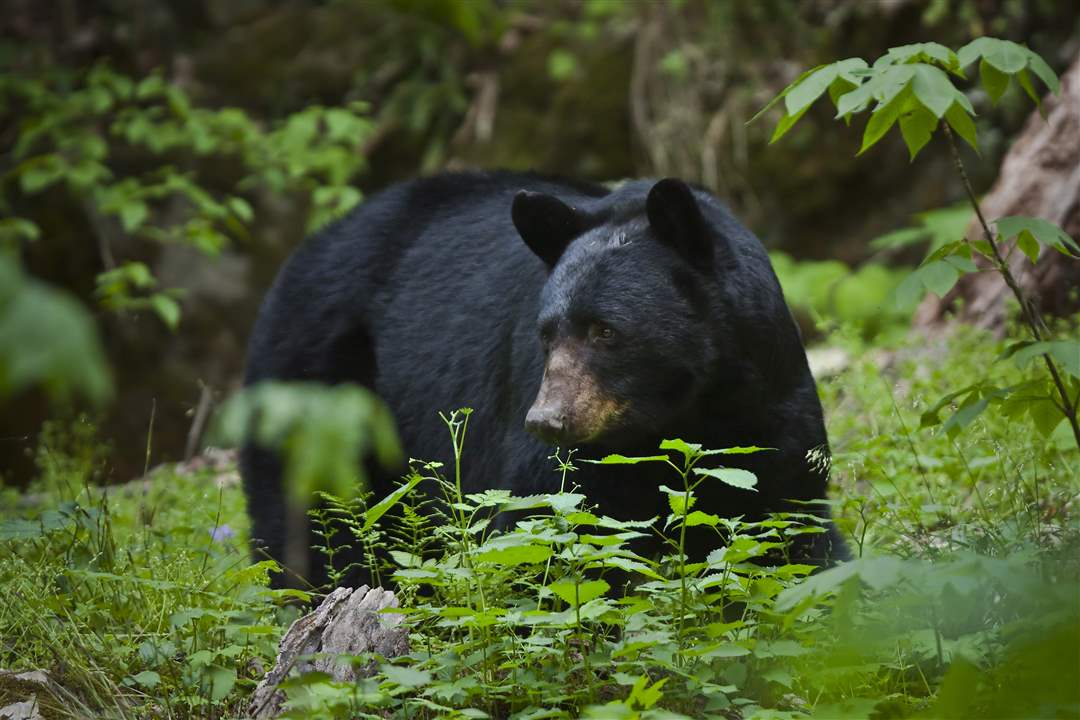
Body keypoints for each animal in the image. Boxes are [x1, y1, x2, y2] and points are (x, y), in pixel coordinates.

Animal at [240, 170, 846, 587]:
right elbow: (542, 532)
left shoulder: (770, 404)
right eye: (547, 332)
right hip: (316, 384)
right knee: (312, 523)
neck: (687, 410)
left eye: (606, 330)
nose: (547, 420)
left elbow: (793, 526)